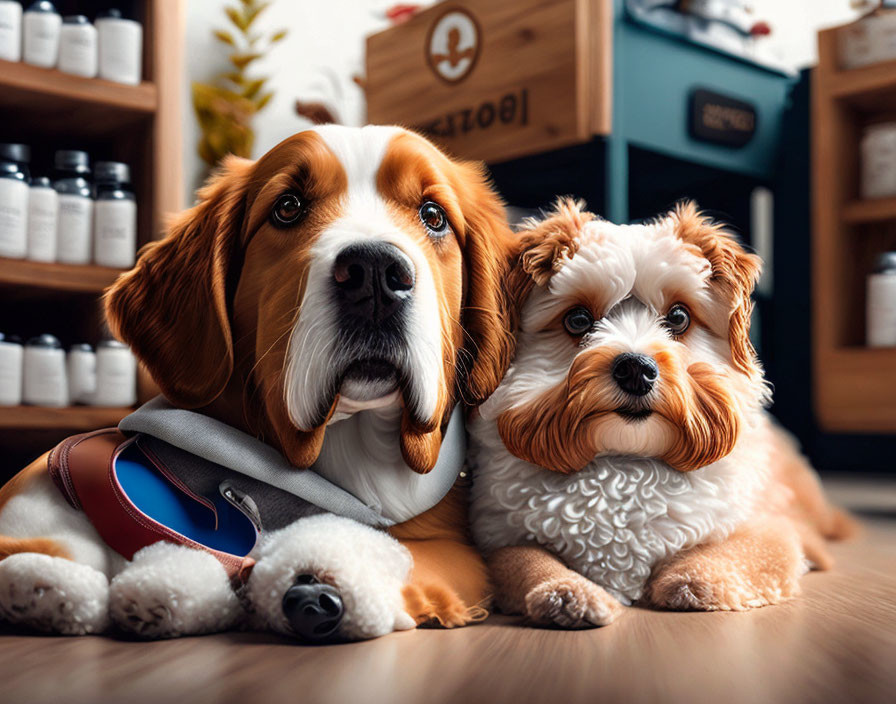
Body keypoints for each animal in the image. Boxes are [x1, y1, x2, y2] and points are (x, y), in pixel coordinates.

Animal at [468, 198, 856, 628]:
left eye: (679, 317)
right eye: (579, 320)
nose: (636, 369)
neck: (626, 461)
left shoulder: (767, 529)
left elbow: (720, 557)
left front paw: (687, 582)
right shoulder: (495, 536)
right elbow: (525, 559)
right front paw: (566, 592)